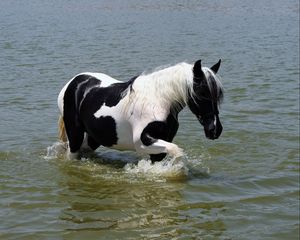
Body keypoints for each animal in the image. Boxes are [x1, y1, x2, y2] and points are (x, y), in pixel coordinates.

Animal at [57, 59, 224, 162]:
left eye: (218, 95)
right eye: (202, 93)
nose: (215, 130)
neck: (158, 101)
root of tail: (73, 82)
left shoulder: (161, 144)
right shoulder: (143, 142)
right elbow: (177, 151)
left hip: (94, 137)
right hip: (75, 136)